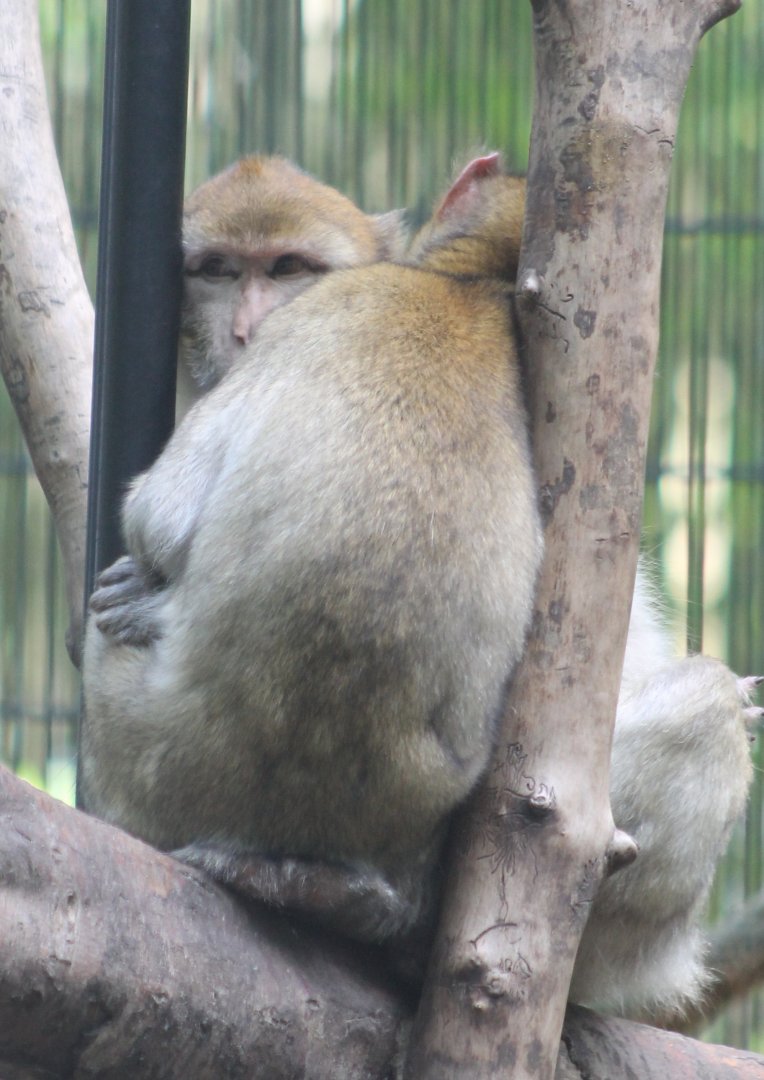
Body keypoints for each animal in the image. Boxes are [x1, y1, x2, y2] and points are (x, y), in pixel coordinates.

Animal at [81, 152, 541, 944]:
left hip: (144, 754)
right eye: (217, 271)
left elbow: (157, 517)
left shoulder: (322, 310)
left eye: (289, 268)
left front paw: (144, 589)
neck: (468, 287)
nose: (245, 329)